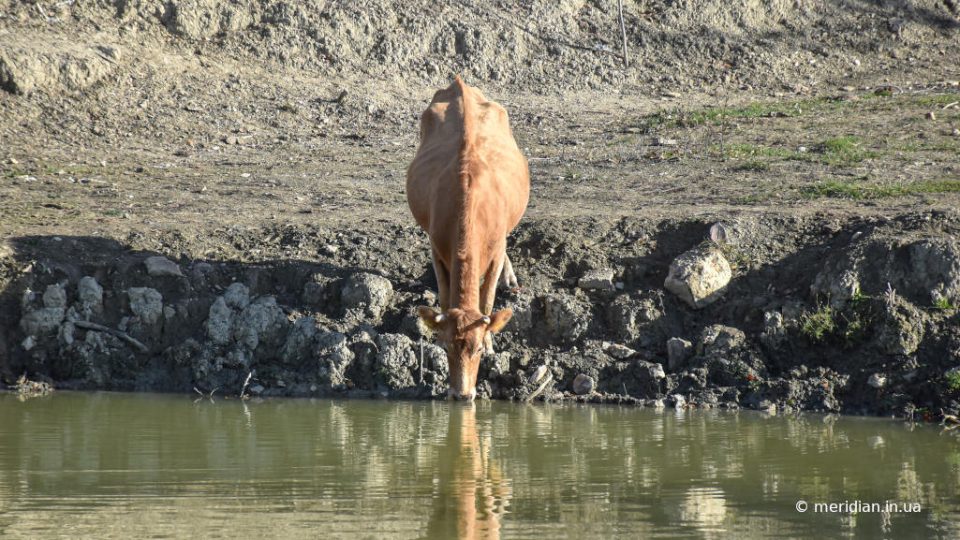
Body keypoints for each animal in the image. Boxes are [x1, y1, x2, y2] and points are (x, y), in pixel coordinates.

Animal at [404, 76, 528, 400]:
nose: (462, 395)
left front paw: (493, 343)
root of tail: (460, 85)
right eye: (448, 348)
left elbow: (486, 300)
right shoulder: (436, 246)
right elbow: (446, 294)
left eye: (478, 350)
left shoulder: (496, 248)